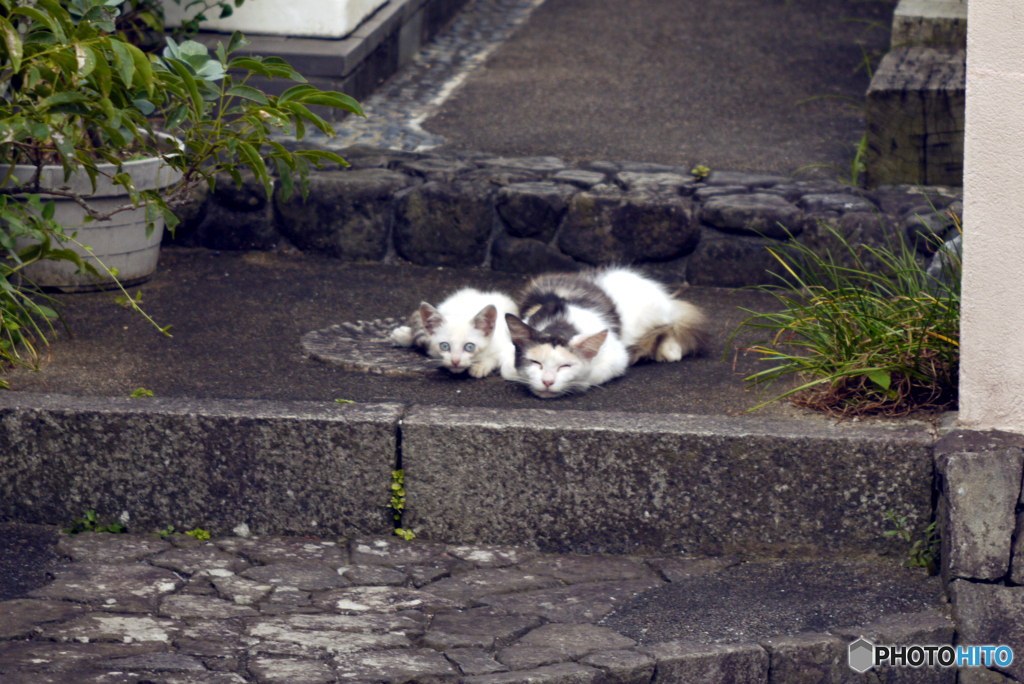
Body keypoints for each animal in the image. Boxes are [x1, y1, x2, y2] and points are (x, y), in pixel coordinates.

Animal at [391, 286, 520, 376]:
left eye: (469, 347)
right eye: (444, 346)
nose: (455, 361)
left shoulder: (508, 343)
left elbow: (498, 356)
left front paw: (480, 366)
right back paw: (402, 334)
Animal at [501, 266, 704, 395]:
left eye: (565, 366)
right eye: (536, 363)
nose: (547, 381)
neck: (559, 323)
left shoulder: (617, 358)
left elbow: (592, 374)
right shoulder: (508, 359)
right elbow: (513, 372)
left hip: (651, 314)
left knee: (671, 324)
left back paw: (670, 350)